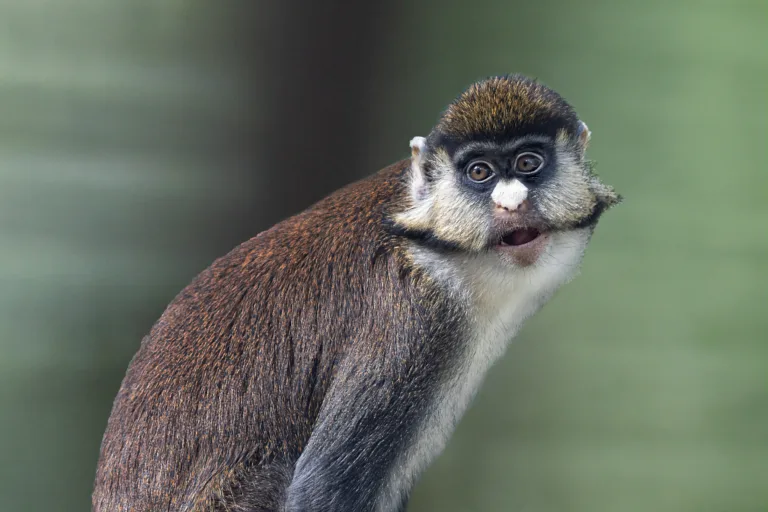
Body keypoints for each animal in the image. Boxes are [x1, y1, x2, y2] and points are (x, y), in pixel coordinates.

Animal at [93, 74, 620, 512]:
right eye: (480, 173)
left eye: (529, 163)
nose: (512, 202)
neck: (435, 247)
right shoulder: (411, 321)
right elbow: (321, 490)